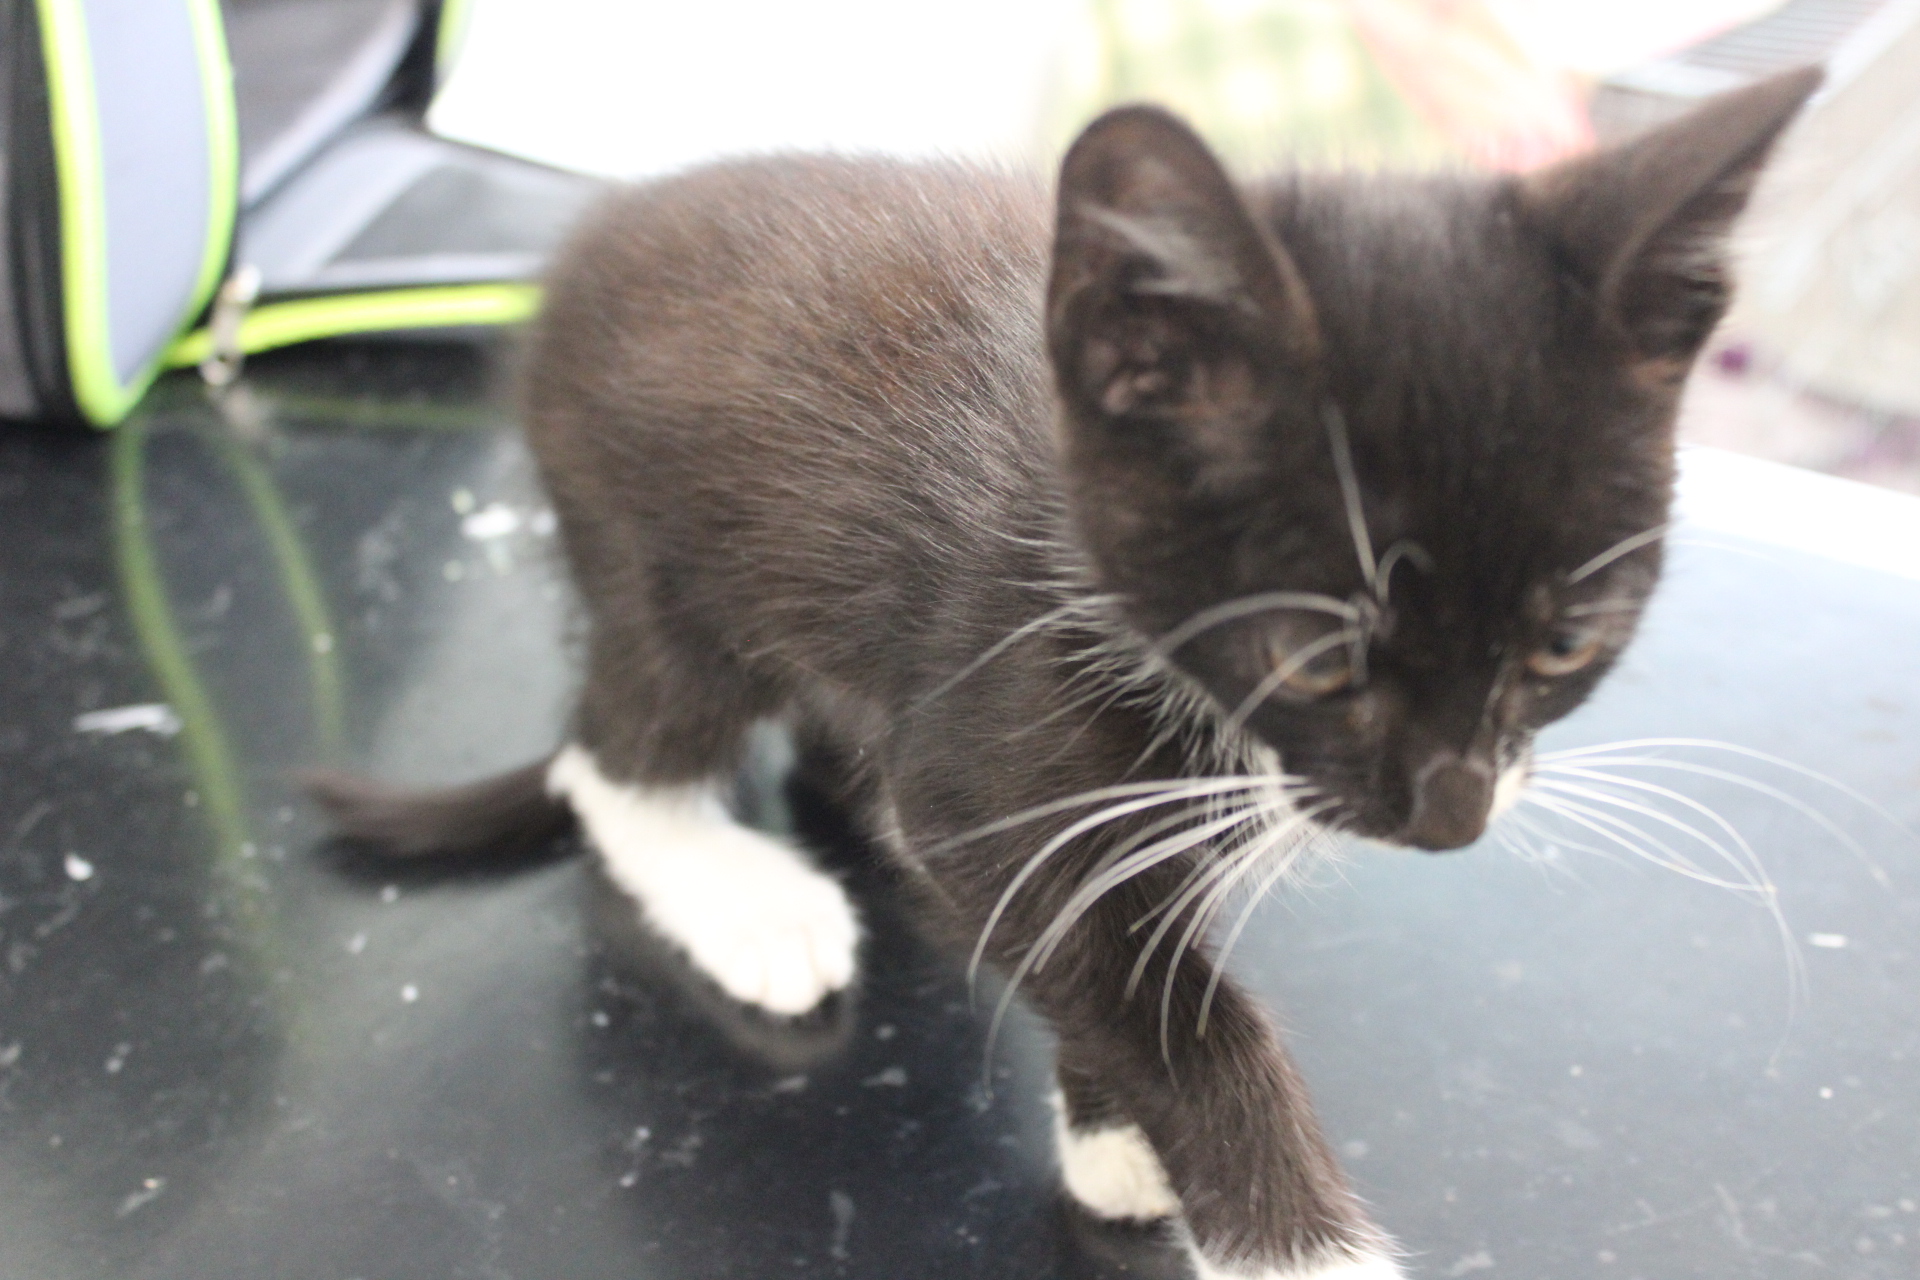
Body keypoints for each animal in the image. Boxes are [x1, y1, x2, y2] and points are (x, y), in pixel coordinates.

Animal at [307, 67, 1821, 1279]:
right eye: (1317, 654)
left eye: (1567, 643)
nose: (1451, 816)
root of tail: (574, 256)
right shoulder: (997, 725)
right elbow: (1145, 983)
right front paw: (1291, 1241)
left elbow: (1109, 939)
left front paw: (1119, 1133)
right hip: (653, 545)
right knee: (617, 751)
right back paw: (746, 899)